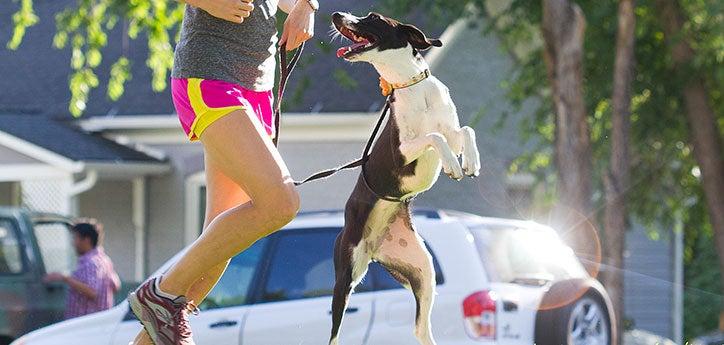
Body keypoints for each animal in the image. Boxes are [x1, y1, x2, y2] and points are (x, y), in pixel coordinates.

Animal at [330, 11, 480, 344]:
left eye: (373, 17)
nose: (336, 15)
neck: (413, 87)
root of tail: (374, 249)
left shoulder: (452, 131)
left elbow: (464, 131)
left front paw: (470, 161)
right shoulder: (402, 153)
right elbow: (434, 137)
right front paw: (453, 165)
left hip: (424, 273)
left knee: (419, 329)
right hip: (345, 278)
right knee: (334, 331)